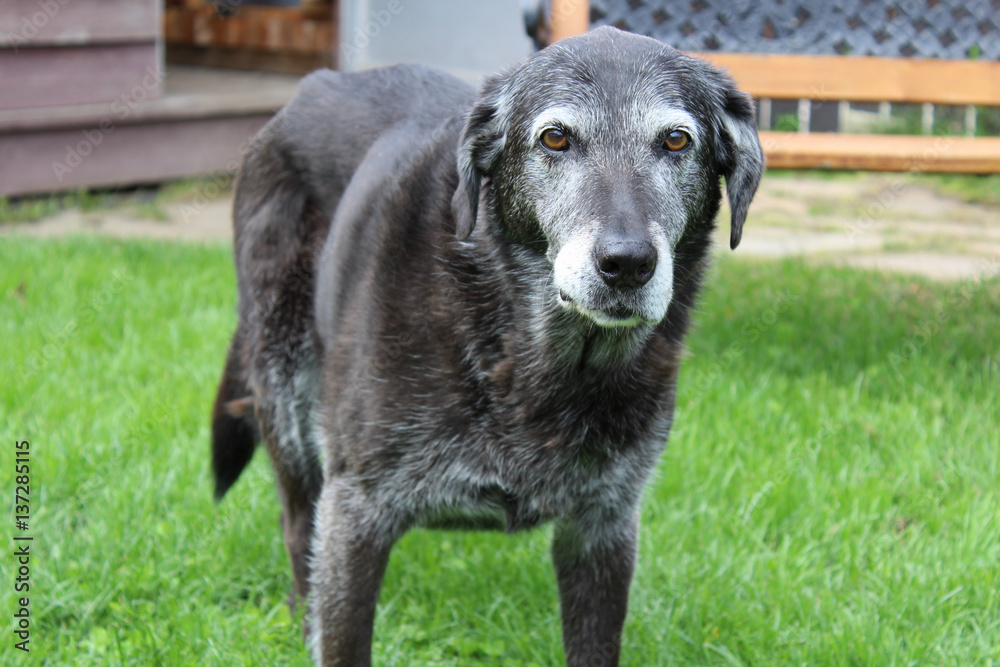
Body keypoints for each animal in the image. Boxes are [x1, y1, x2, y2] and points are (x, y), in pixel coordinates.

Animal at [209, 23, 756, 664]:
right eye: (555, 137)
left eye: (675, 140)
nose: (627, 264)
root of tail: (308, 88)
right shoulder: (356, 513)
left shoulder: (603, 527)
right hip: (288, 398)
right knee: (298, 530)